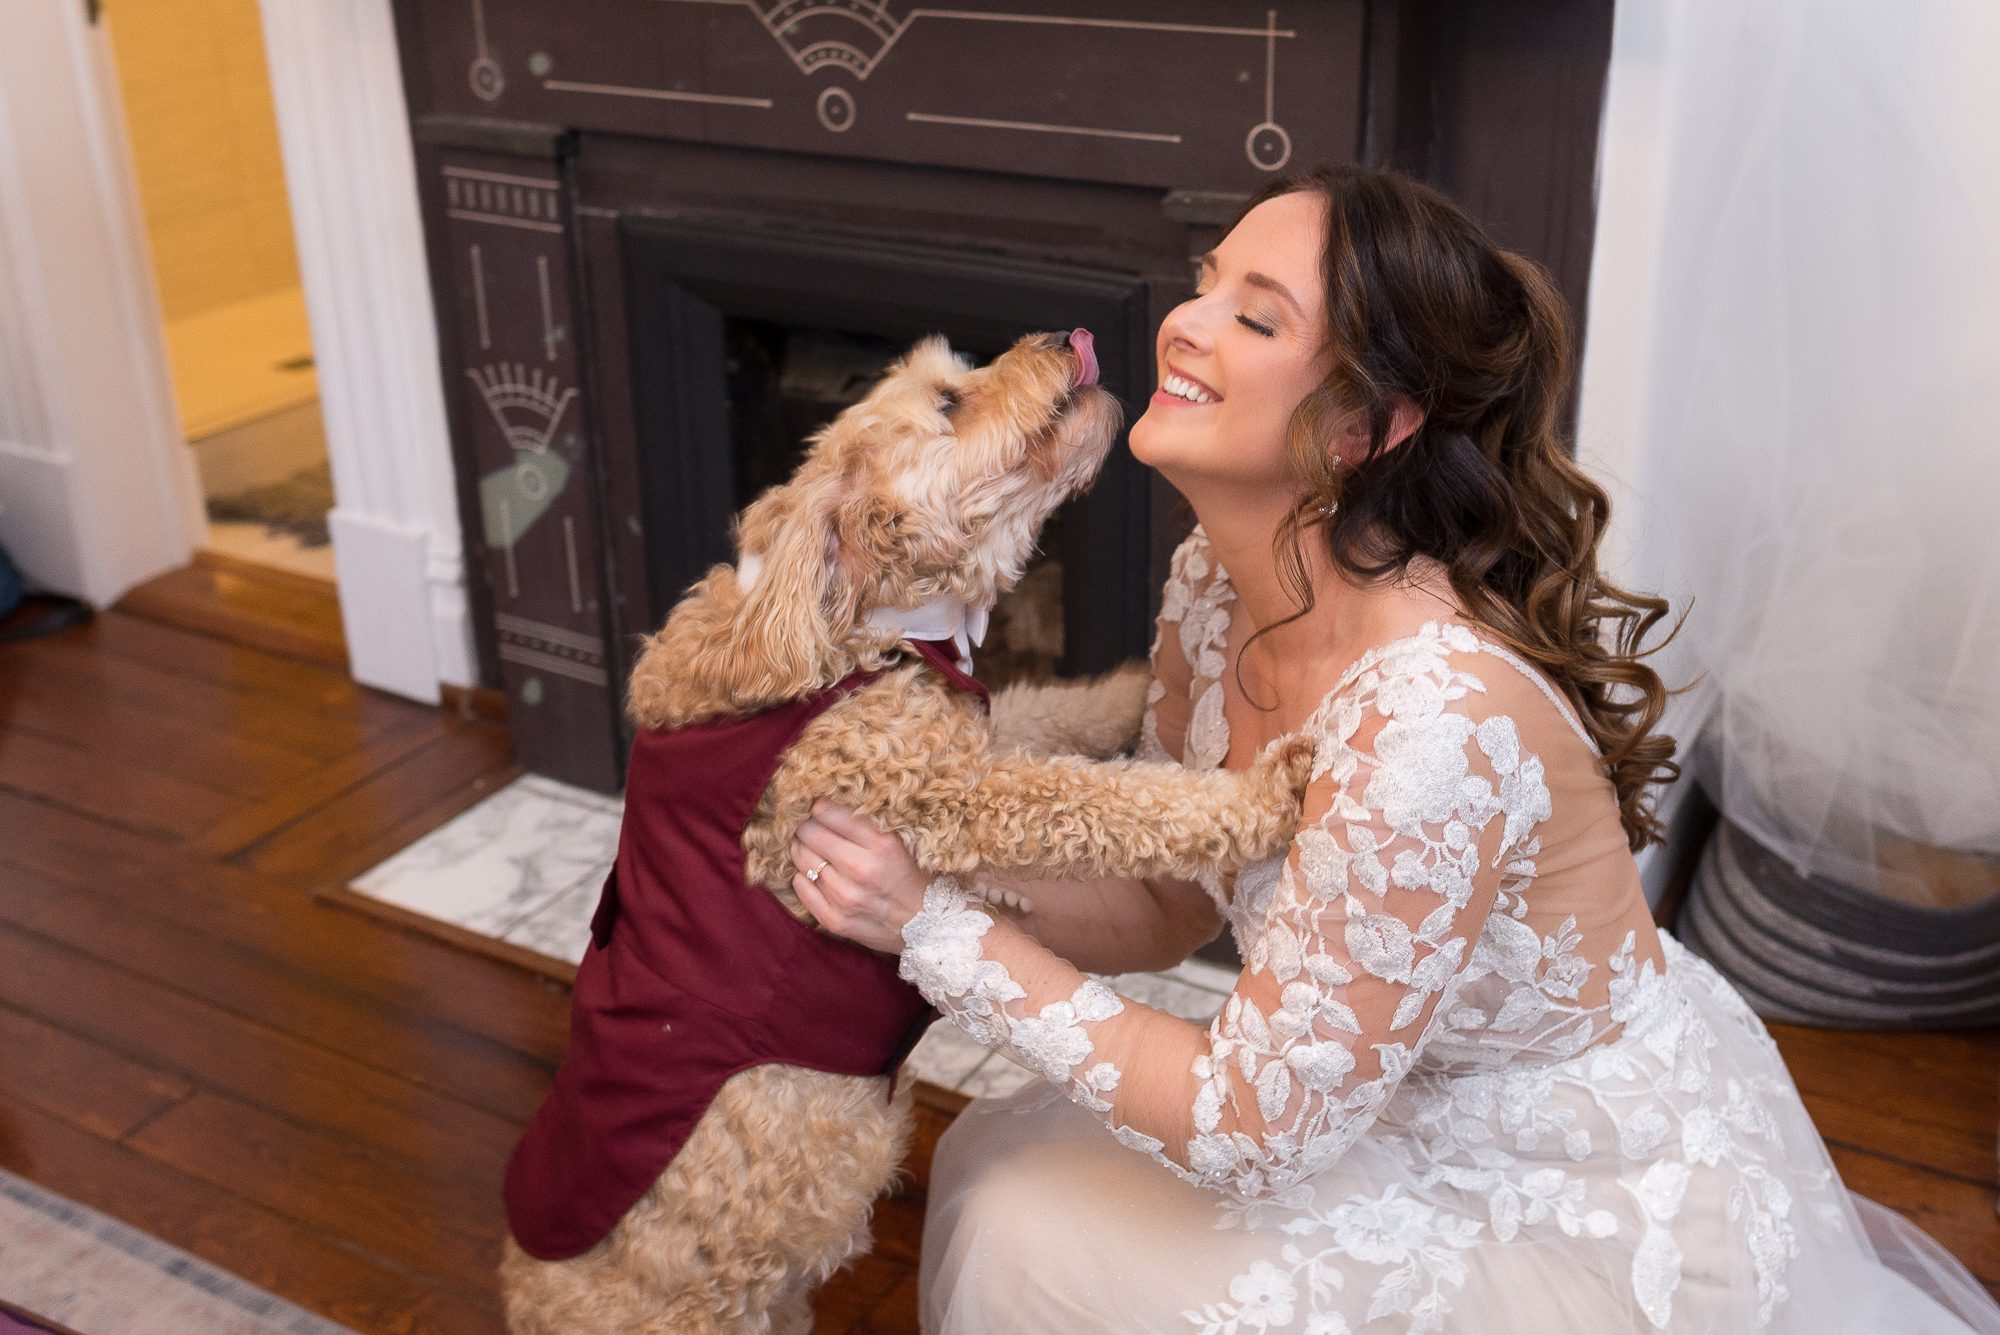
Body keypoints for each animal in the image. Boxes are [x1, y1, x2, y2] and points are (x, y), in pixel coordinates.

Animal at [499, 329, 1313, 1334]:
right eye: (949, 403)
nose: (1064, 337)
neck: (854, 627)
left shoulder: (969, 726)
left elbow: (1053, 710)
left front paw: (1130, 687)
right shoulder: (946, 785)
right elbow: (1110, 800)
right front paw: (1261, 795)